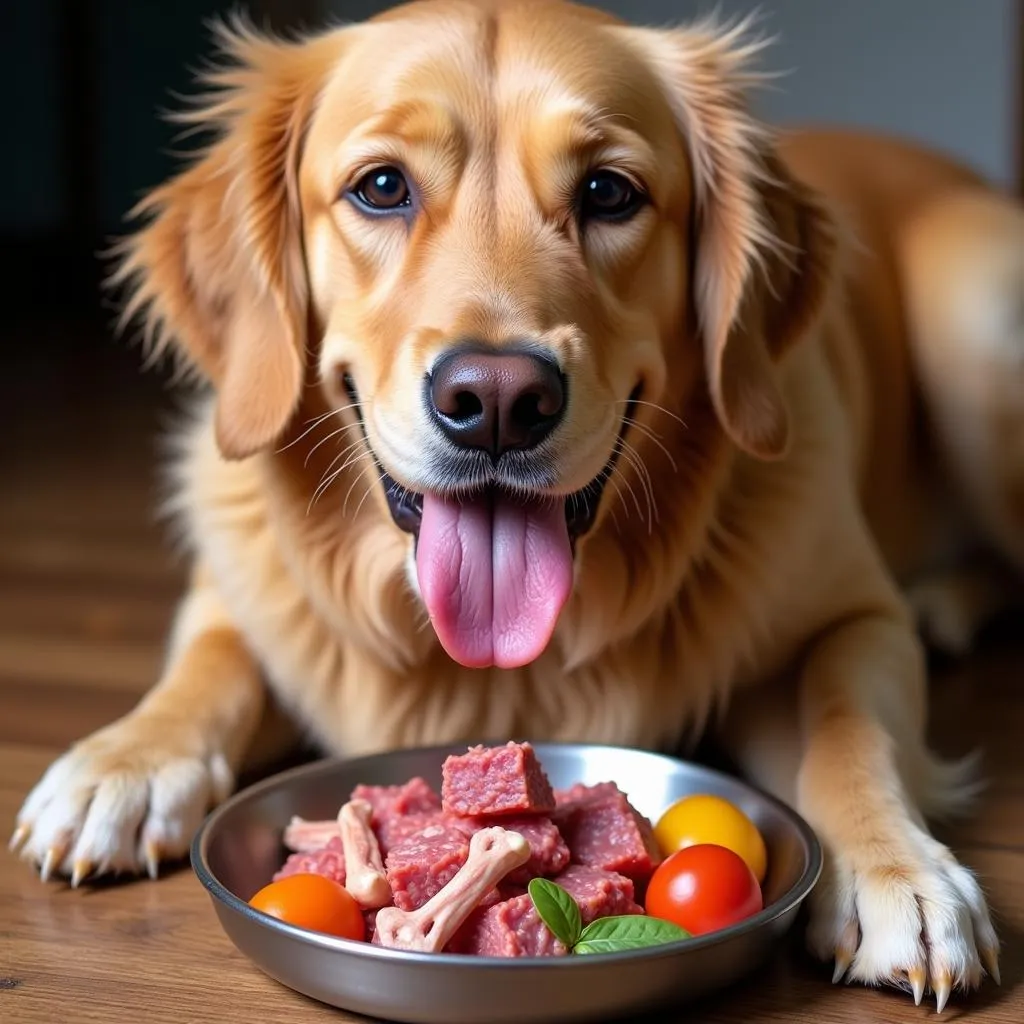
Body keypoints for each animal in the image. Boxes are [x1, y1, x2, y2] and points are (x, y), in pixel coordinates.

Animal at [9, 0, 1015, 1007]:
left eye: (609, 192)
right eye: (381, 187)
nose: (496, 401)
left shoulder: (850, 617)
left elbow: (848, 733)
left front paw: (898, 870)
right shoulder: (235, 593)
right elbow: (210, 667)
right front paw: (124, 766)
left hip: (972, 318)